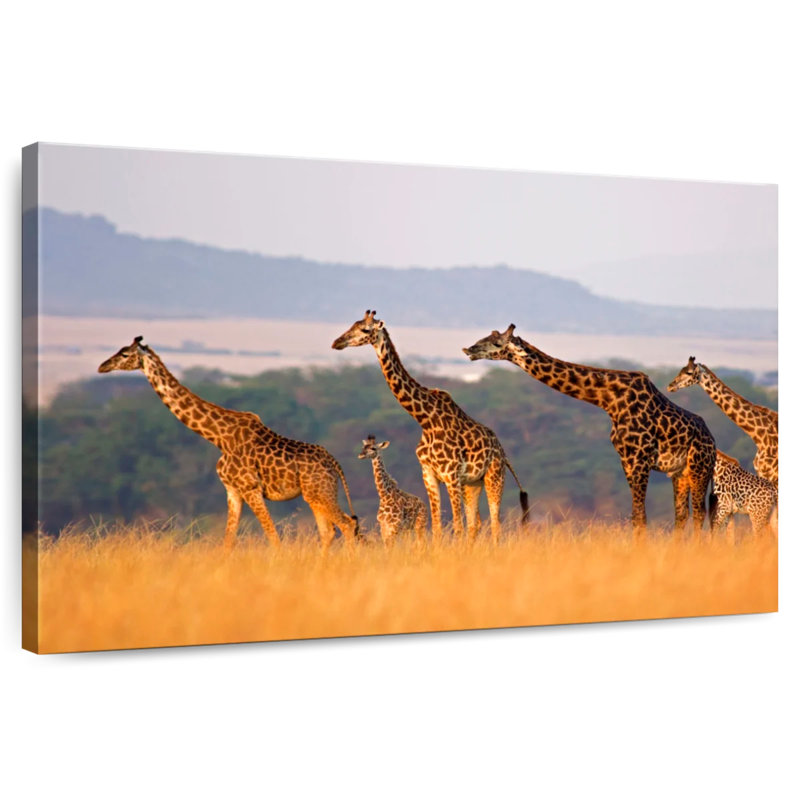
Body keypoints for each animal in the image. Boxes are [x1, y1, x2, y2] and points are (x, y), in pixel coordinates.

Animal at [98, 336, 359, 549]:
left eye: (125, 354)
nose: (102, 366)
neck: (218, 437)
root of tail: (335, 463)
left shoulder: (250, 488)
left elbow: (273, 536)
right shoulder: (232, 490)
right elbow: (228, 540)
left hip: (320, 492)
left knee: (347, 525)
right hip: (315, 495)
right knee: (329, 532)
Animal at [332, 311, 529, 543]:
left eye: (365, 329)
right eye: (353, 324)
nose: (337, 342)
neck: (425, 419)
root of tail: (503, 452)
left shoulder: (451, 475)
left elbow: (457, 525)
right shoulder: (429, 474)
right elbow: (436, 527)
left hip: (494, 476)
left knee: (494, 522)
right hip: (472, 483)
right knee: (476, 523)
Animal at [463, 325, 716, 534]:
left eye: (497, 343)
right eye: (484, 337)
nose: (468, 349)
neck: (609, 400)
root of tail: (713, 442)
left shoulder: (640, 459)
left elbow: (640, 516)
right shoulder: (626, 460)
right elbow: (637, 515)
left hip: (699, 467)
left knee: (699, 513)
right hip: (680, 473)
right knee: (682, 515)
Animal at [667, 357, 778, 489]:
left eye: (688, 372)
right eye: (681, 370)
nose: (670, 386)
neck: (760, 436)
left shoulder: (773, 475)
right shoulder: (763, 474)